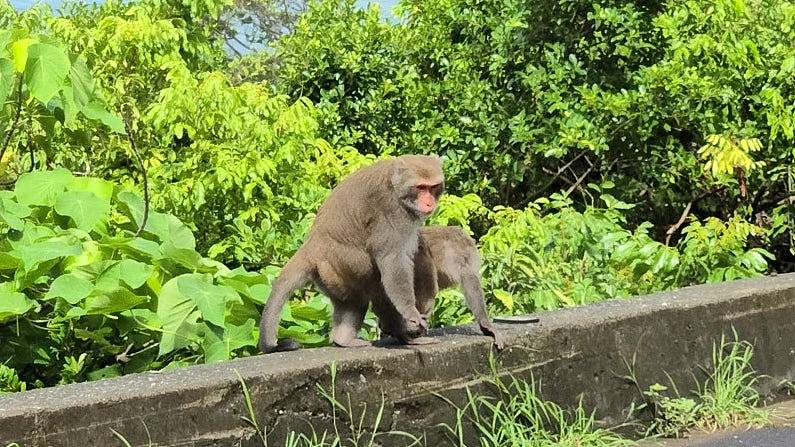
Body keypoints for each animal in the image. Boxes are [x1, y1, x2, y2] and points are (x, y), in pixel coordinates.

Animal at [262, 156, 448, 356]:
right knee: (376, 285)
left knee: (352, 301)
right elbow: (393, 260)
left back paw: (343, 340)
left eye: (433, 187)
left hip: (330, 275)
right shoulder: (392, 212)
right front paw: (410, 312)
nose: (429, 203)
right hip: (345, 262)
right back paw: (403, 334)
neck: (395, 185)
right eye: (421, 187)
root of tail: (311, 246)